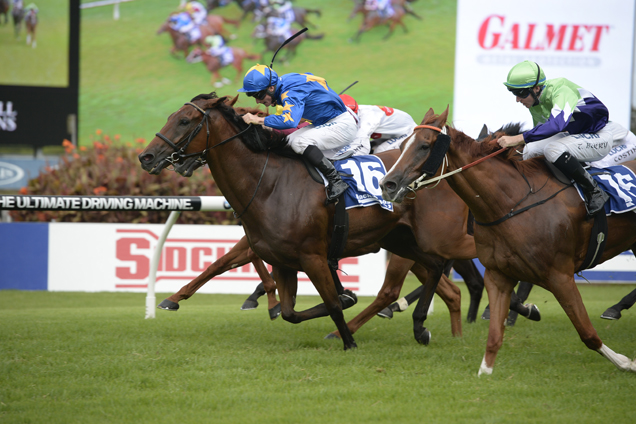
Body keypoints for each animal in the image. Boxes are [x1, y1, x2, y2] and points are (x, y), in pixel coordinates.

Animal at [138, 94, 476, 350]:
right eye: (171, 116)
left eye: (184, 121)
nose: (146, 156)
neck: (269, 184)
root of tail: (445, 168)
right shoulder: (281, 259)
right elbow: (289, 311)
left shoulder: (312, 257)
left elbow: (333, 304)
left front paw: (348, 338)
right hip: (402, 241)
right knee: (437, 273)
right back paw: (427, 328)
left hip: (442, 238)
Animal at [378, 107, 636, 374]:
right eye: (402, 146)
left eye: (425, 146)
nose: (388, 184)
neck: (511, 203)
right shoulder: (496, 272)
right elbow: (493, 331)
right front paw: (485, 368)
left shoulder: (560, 275)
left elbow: (587, 332)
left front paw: (626, 362)